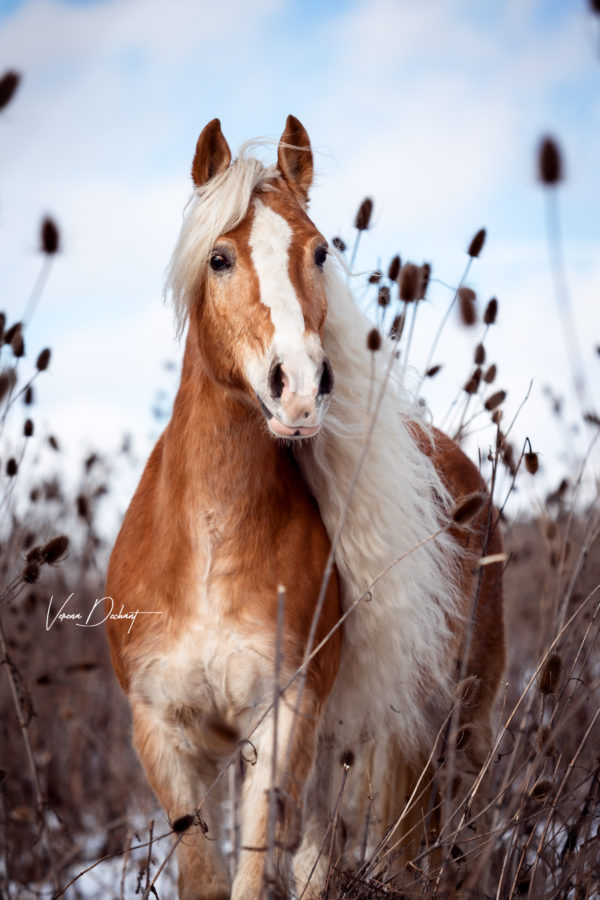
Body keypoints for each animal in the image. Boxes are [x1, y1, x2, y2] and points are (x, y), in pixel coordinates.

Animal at [105, 115, 505, 900]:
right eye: (220, 258)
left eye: (320, 250)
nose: (298, 387)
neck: (209, 546)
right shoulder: (163, 730)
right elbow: (208, 875)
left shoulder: (284, 718)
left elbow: (254, 875)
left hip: (443, 736)